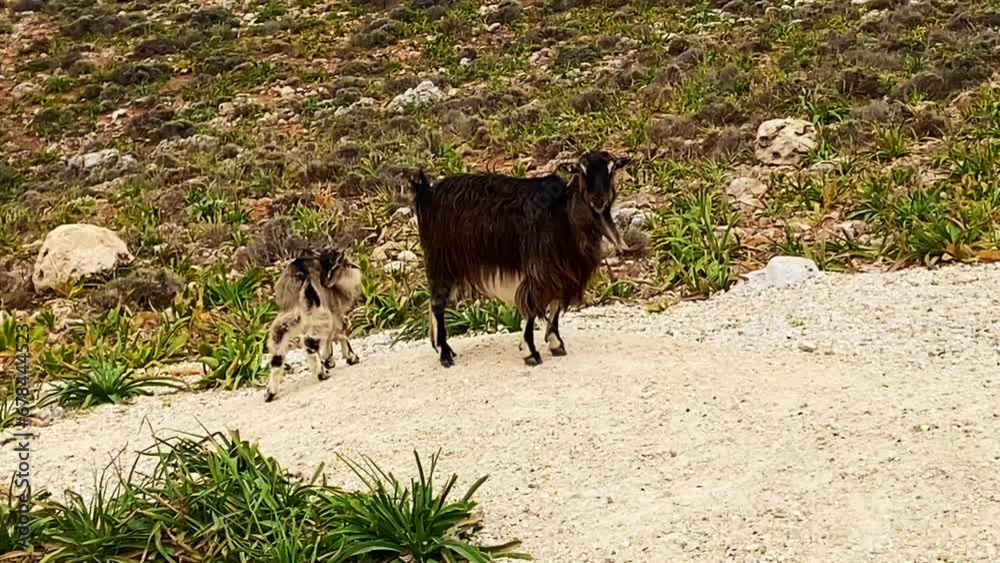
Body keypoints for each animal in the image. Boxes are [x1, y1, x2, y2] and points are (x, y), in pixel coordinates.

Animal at [264, 248, 362, 402]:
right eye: (334, 265)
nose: (326, 281)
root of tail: (302, 275)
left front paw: (329, 360)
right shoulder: (335, 310)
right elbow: (341, 332)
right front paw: (349, 358)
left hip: (288, 316)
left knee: (278, 347)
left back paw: (271, 392)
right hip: (318, 312)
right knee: (310, 341)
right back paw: (322, 373)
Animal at [409, 149, 630, 367]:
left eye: (611, 170)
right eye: (582, 171)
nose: (599, 200)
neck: (563, 215)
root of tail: (427, 193)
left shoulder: (562, 271)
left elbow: (555, 304)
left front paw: (556, 343)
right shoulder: (538, 269)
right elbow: (532, 307)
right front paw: (531, 352)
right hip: (441, 259)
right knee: (437, 303)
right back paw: (445, 355)